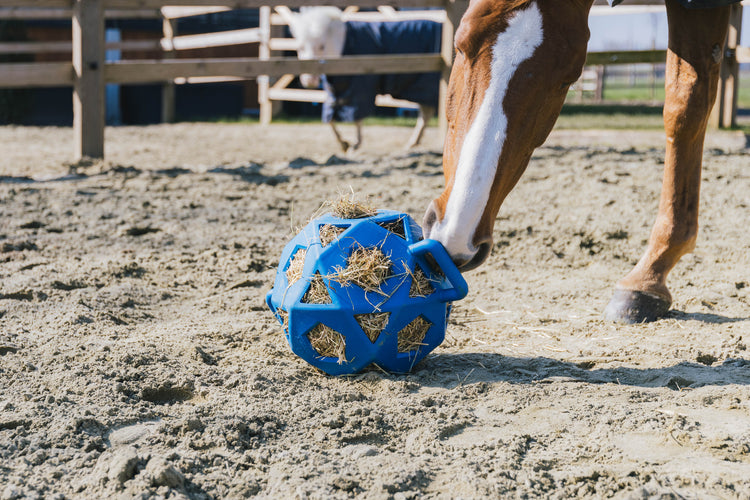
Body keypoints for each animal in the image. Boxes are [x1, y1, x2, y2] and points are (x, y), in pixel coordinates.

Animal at [286, 7, 440, 152]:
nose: (309, 80)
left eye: (321, 46)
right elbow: (330, 119)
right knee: (426, 113)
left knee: (427, 113)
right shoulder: (336, 91)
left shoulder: (359, 90)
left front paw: (355, 144)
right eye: (300, 47)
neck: (343, 46)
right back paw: (413, 142)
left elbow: (357, 117)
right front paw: (343, 144)